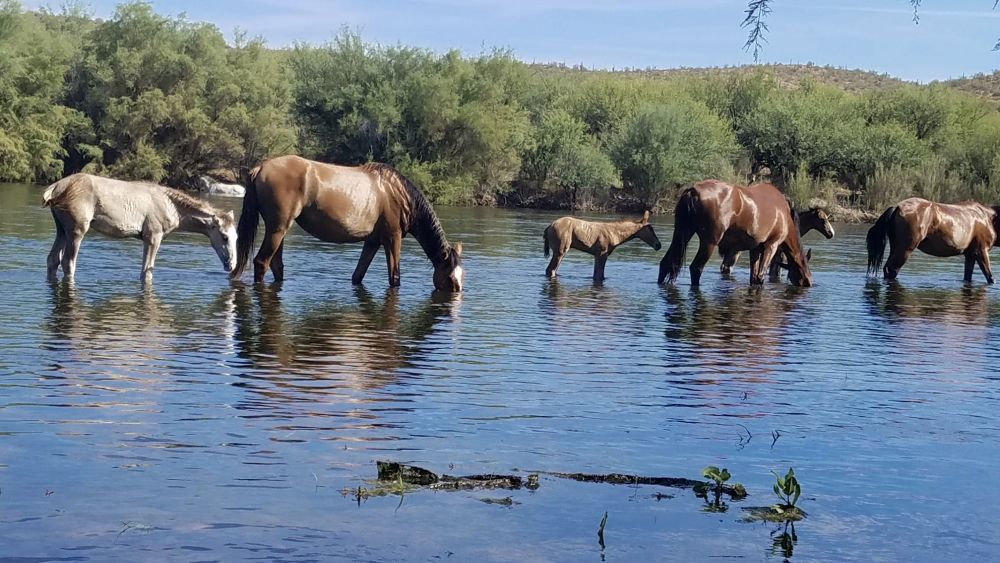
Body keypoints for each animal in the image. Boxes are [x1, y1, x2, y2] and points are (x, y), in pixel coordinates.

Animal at [42, 173, 237, 280]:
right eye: (224, 236)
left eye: (236, 237)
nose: (231, 265)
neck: (174, 210)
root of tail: (55, 188)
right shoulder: (153, 235)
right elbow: (147, 271)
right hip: (77, 229)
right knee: (68, 263)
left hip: (61, 229)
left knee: (53, 259)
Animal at [231, 155, 464, 292]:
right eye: (451, 279)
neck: (398, 193)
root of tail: (260, 168)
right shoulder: (393, 237)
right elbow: (395, 278)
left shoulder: (372, 241)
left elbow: (357, 276)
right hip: (277, 229)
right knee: (261, 262)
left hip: (279, 229)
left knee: (276, 265)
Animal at [658, 180, 813, 287]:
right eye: (805, 268)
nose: (808, 282)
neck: (784, 214)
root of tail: (692, 191)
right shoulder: (771, 245)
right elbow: (760, 277)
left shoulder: (755, 248)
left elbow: (754, 277)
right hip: (709, 242)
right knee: (696, 268)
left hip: (682, 232)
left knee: (665, 263)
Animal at [866, 198, 1000, 283]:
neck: (987, 217)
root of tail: (897, 207)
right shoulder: (981, 251)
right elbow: (990, 277)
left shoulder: (970, 255)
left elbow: (968, 277)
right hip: (905, 250)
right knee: (892, 269)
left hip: (895, 248)